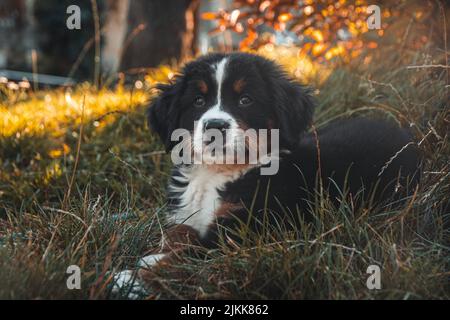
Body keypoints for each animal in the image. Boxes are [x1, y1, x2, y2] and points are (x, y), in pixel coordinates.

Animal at [111, 52, 418, 296]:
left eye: (245, 100)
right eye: (198, 101)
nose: (215, 126)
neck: (218, 174)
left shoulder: (247, 234)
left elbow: (191, 254)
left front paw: (134, 278)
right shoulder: (186, 216)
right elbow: (179, 235)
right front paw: (152, 256)